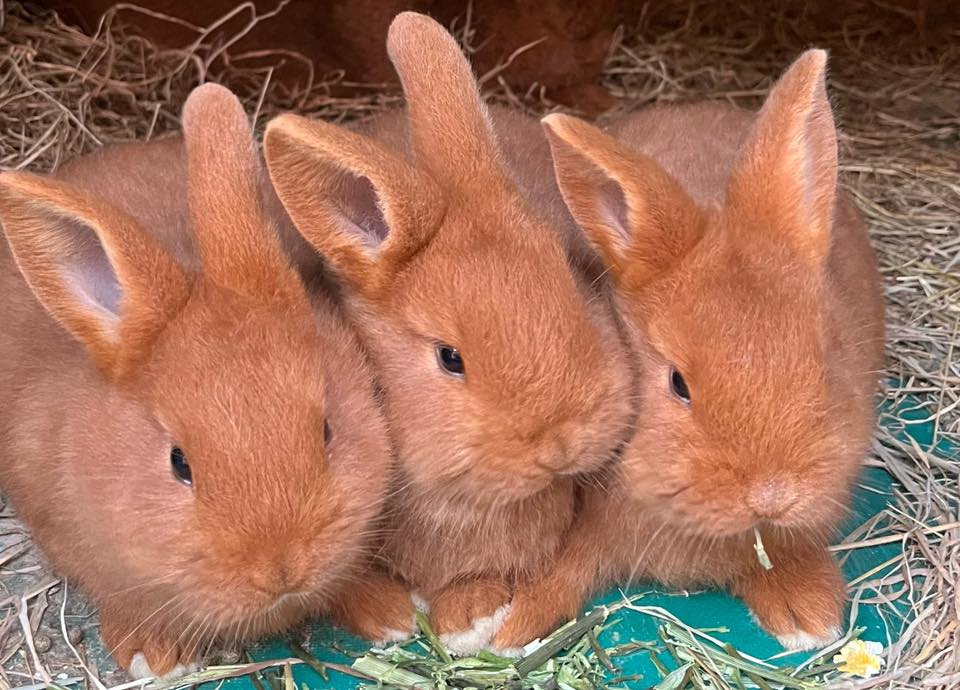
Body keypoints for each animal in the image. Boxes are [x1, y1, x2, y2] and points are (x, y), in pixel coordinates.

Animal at [493, 49, 886, 652]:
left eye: (827, 362)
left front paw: (808, 615)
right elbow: (562, 568)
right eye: (678, 384)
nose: (772, 495)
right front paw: (506, 622)